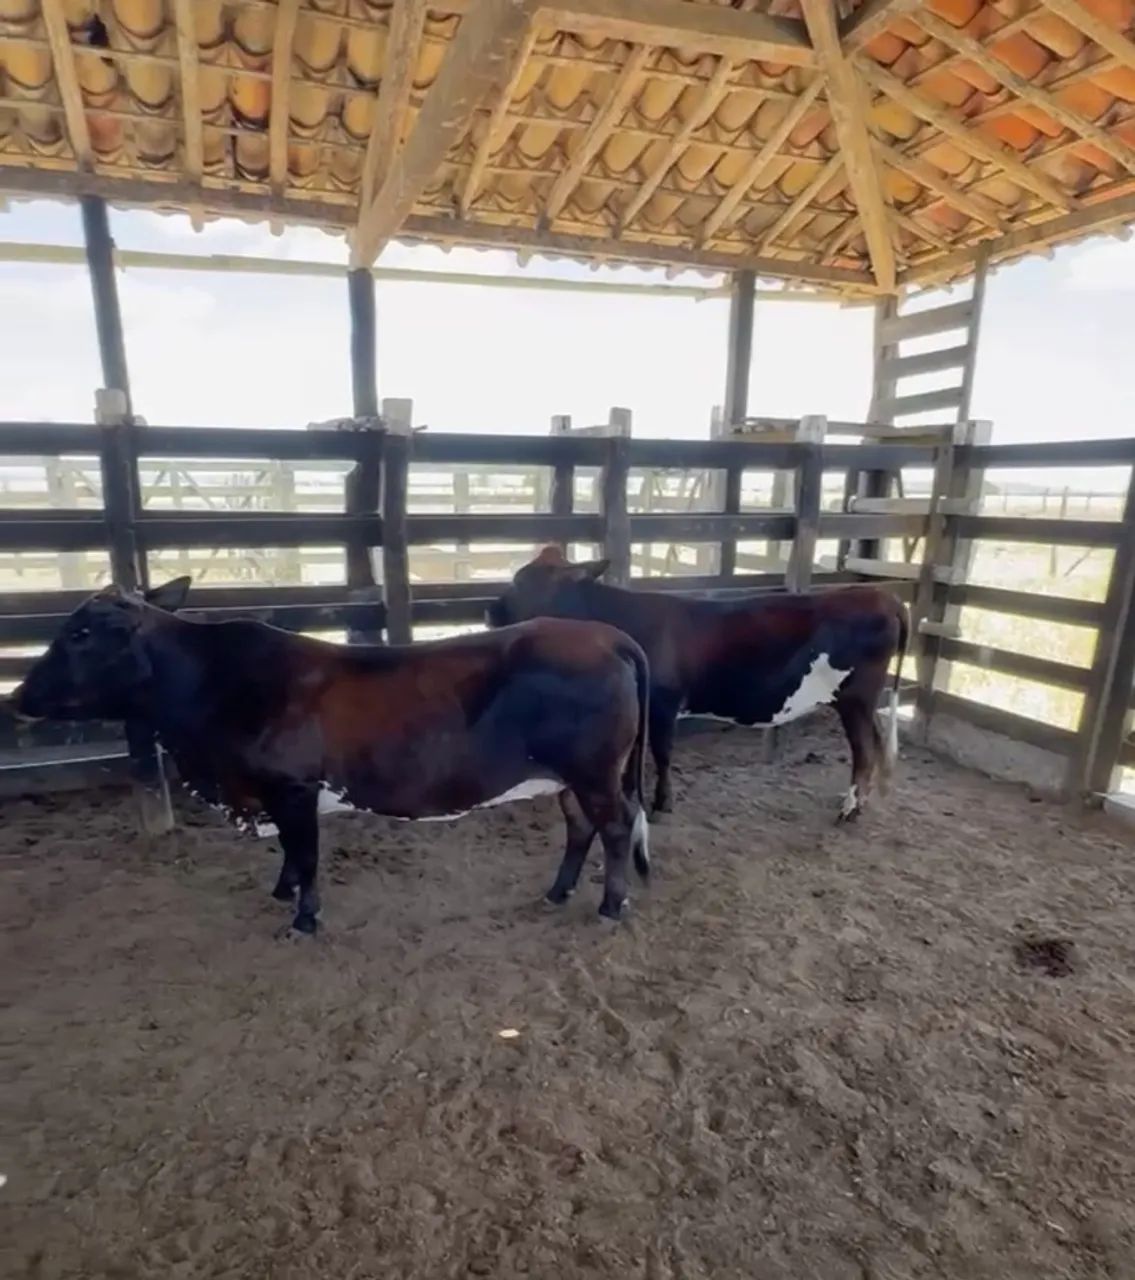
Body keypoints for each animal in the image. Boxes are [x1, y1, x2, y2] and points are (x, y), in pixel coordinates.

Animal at [9, 579, 651, 934]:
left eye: (80, 635)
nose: (16, 697)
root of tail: (606, 635)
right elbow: (293, 854)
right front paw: (283, 892)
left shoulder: (292, 787)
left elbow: (307, 852)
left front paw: (303, 916)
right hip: (568, 777)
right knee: (581, 826)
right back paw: (557, 893)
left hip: (596, 770)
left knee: (618, 825)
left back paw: (610, 906)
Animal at [487, 547, 909, 824]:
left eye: (520, 579)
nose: (491, 610)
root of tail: (883, 595)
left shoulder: (663, 702)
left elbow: (661, 752)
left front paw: (662, 803)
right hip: (863, 700)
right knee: (875, 740)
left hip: (856, 697)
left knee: (864, 749)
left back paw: (850, 808)